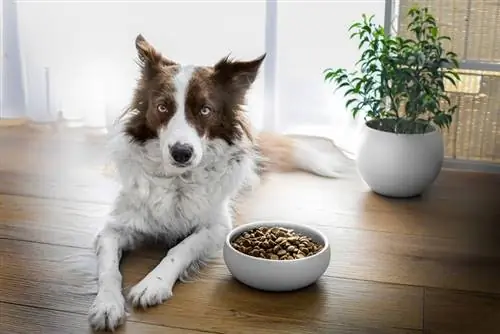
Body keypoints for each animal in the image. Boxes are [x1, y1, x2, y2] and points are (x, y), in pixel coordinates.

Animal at [87, 34, 344, 332]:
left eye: (205, 110)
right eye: (162, 107)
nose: (182, 153)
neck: (178, 180)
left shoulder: (217, 227)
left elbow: (180, 248)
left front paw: (153, 284)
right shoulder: (111, 229)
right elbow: (109, 270)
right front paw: (107, 305)